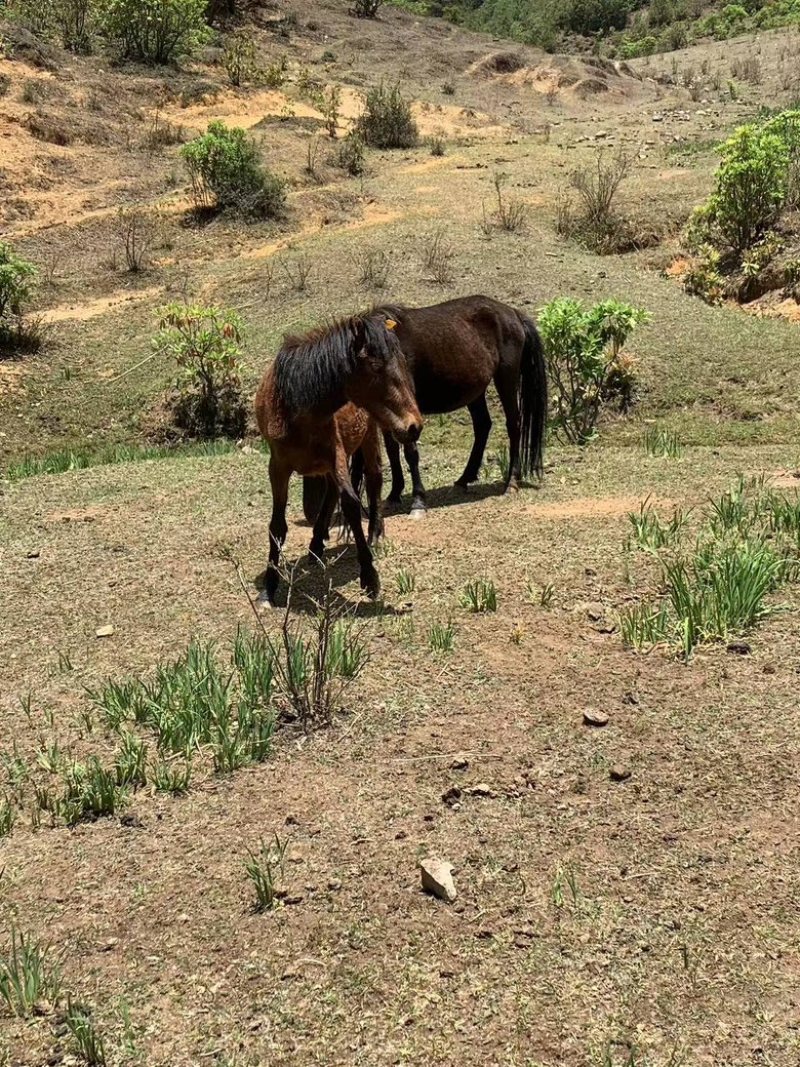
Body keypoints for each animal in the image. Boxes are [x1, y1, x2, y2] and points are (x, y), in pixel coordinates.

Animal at [255, 312, 423, 605]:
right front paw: (269, 588)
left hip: (370, 436)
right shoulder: (278, 467)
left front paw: (369, 576)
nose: (414, 426)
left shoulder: (337, 456)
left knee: (374, 479)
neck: (296, 407)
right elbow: (277, 525)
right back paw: (315, 546)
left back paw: (374, 533)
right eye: (376, 368)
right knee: (332, 493)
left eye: (401, 363)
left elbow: (352, 505)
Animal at [303, 295, 547, 518]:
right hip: (475, 391)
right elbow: (392, 450)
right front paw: (394, 494)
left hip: (506, 378)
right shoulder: (390, 412)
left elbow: (410, 452)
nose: (310, 511)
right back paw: (464, 479)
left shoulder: (407, 410)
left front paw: (418, 502)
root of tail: (513, 313)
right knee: (483, 426)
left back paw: (511, 483)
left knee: (513, 426)